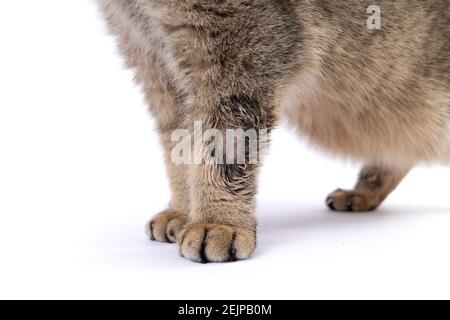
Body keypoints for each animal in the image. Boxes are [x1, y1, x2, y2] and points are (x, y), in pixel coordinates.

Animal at [98, 0, 450, 262]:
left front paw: (218, 222)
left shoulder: (241, 59)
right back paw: (362, 193)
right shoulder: (152, 62)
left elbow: (223, 154)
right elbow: (178, 151)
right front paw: (182, 211)